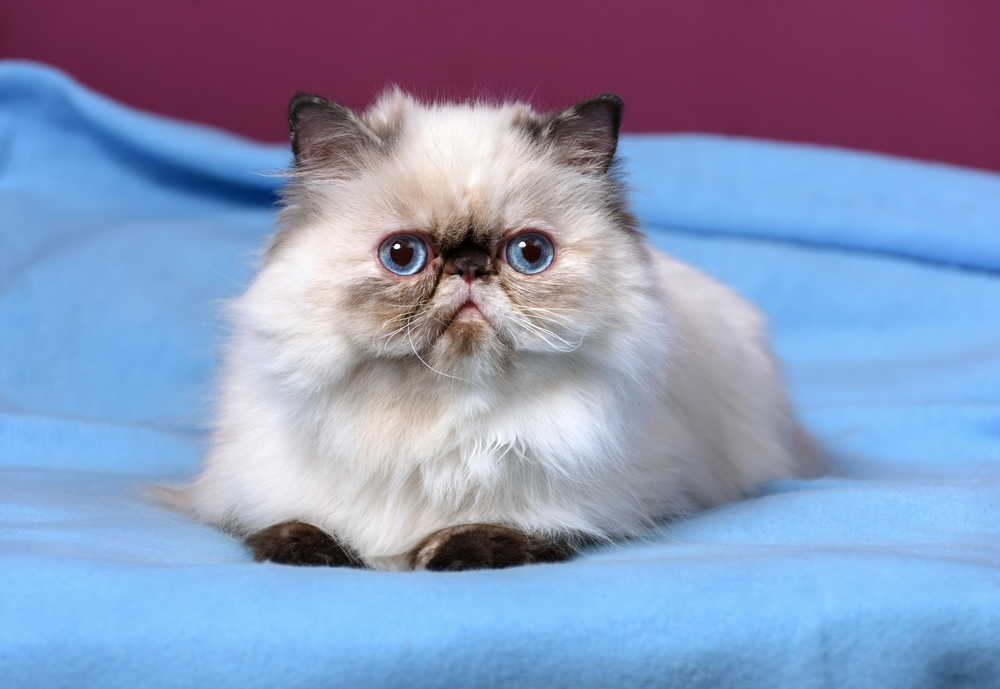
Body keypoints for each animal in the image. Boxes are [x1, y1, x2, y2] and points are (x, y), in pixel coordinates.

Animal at [166, 88, 820, 568]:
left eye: (529, 253)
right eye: (402, 255)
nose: (470, 266)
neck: (436, 420)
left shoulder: (615, 503)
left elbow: (511, 532)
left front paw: (449, 554)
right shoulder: (249, 494)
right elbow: (294, 527)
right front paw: (314, 552)